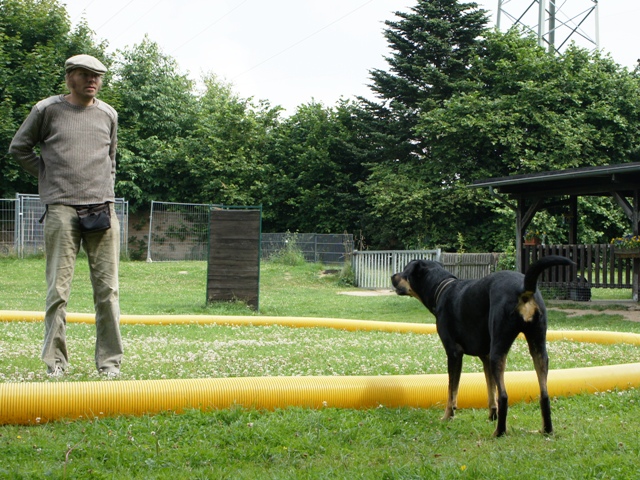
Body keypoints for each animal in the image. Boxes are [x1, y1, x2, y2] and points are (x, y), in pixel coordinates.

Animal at [390, 256, 576, 436]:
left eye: (405, 270)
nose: (392, 276)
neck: (442, 287)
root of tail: (524, 289)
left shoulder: (454, 353)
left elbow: (452, 391)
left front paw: (447, 416)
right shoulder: (485, 356)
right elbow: (490, 389)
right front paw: (492, 415)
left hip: (498, 351)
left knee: (504, 396)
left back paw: (499, 432)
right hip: (538, 347)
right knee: (544, 394)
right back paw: (546, 430)